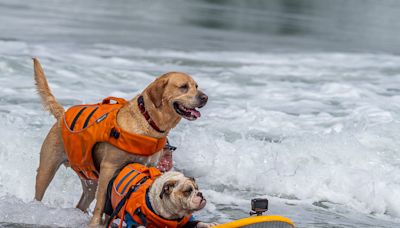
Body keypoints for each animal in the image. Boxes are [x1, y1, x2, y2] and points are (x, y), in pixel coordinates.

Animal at [32, 57, 208, 226]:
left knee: (82, 202)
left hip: (90, 180)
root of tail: (62, 115)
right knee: (39, 193)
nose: (205, 98)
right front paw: (96, 223)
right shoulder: (108, 168)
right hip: (47, 169)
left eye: (196, 86)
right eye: (183, 87)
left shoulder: (149, 166)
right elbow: (102, 201)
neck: (147, 120)